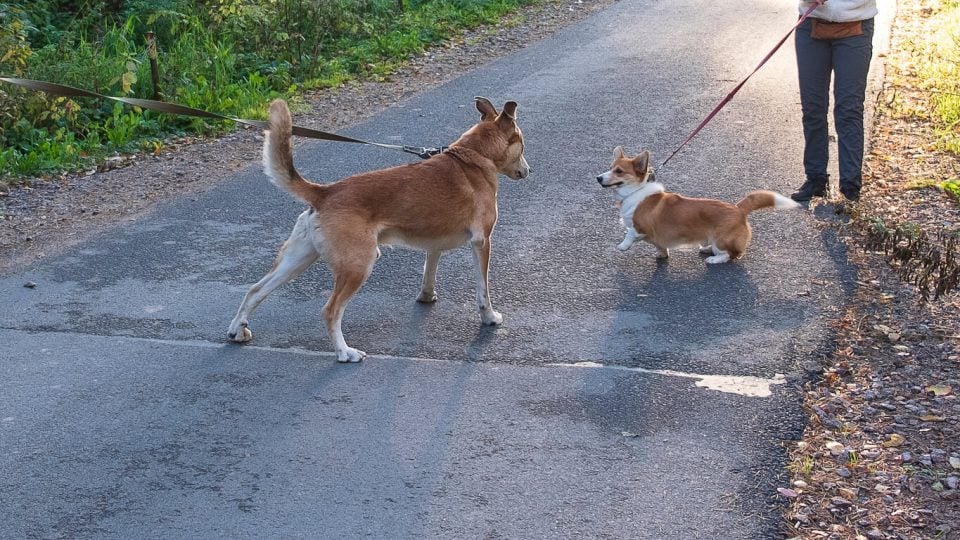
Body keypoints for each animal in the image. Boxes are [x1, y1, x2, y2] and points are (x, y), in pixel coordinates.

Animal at [231, 99, 532, 364]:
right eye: (522, 144)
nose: (528, 171)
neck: (475, 156)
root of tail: (325, 192)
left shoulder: (433, 243)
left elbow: (429, 272)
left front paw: (426, 297)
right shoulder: (482, 242)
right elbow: (483, 290)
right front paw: (489, 317)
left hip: (298, 259)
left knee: (255, 290)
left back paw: (237, 329)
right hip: (358, 265)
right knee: (330, 311)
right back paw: (345, 353)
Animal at [596, 147, 800, 264]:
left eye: (619, 171)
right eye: (609, 167)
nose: (598, 178)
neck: (635, 192)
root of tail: (738, 209)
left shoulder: (640, 227)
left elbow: (629, 233)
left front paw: (623, 246)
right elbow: (661, 247)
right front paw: (662, 255)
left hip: (722, 240)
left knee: (732, 254)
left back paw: (713, 259)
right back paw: (707, 249)